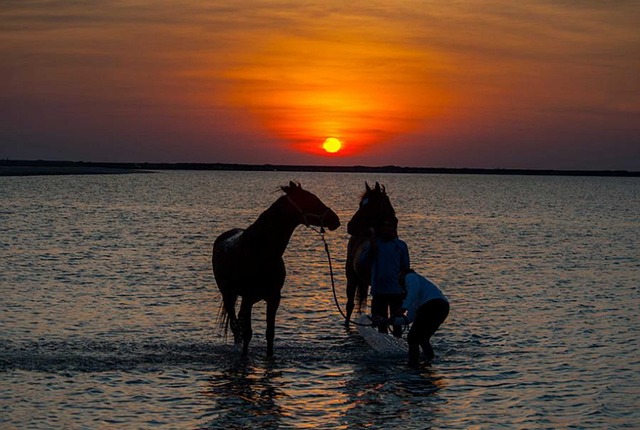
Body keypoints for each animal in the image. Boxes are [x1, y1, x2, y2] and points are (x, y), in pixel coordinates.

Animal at [211, 181, 340, 356]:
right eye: (311, 199)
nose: (336, 220)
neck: (262, 252)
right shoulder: (248, 298)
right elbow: (248, 333)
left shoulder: (274, 298)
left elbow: (270, 334)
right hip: (228, 295)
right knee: (235, 325)